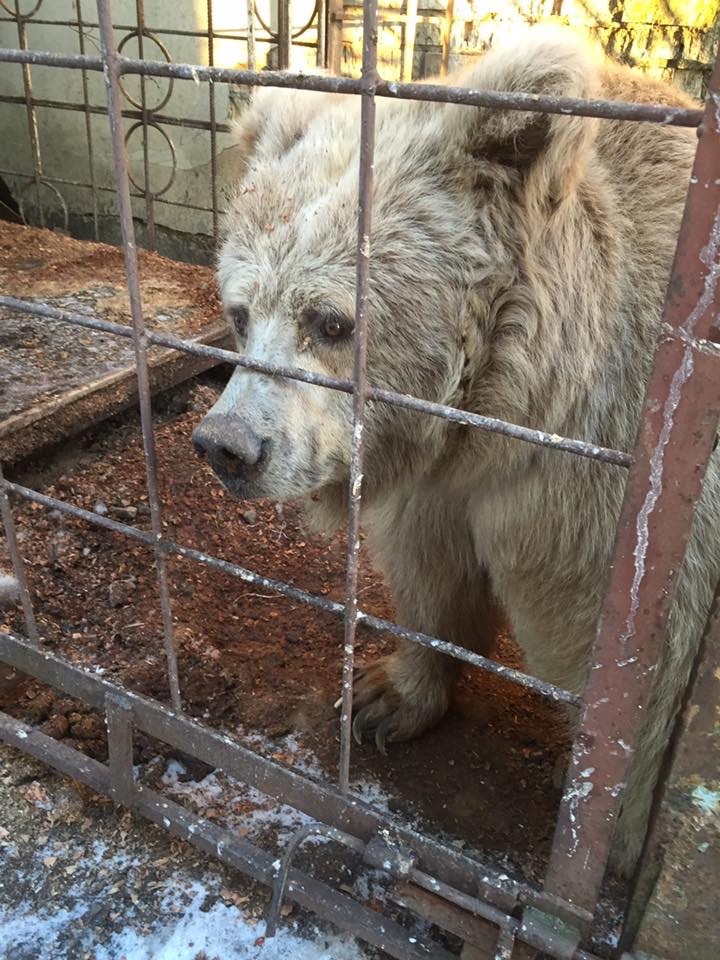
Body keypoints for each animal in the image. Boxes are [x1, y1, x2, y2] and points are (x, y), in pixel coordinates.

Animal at [191, 28, 720, 879]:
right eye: (240, 312)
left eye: (331, 321)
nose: (227, 446)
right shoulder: (440, 478)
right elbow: (429, 571)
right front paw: (385, 695)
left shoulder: (628, 503)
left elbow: (647, 677)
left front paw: (612, 841)